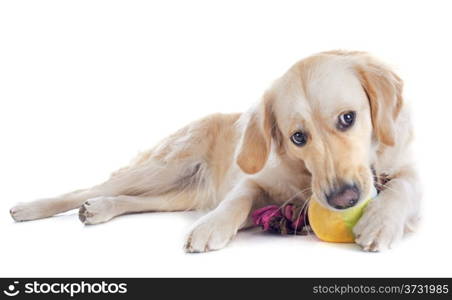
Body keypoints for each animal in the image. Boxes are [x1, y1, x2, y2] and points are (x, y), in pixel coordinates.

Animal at [9, 50, 420, 252]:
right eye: (297, 138)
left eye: (348, 118)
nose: (343, 199)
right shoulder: (254, 181)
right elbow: (238, 199)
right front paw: (211, 227)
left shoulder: (408, 171)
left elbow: (403, 186)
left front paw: (380, 221)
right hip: (164, 167)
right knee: (91, 187)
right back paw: (30, 208)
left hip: (178, 194)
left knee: (130, 199)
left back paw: (100, 209)